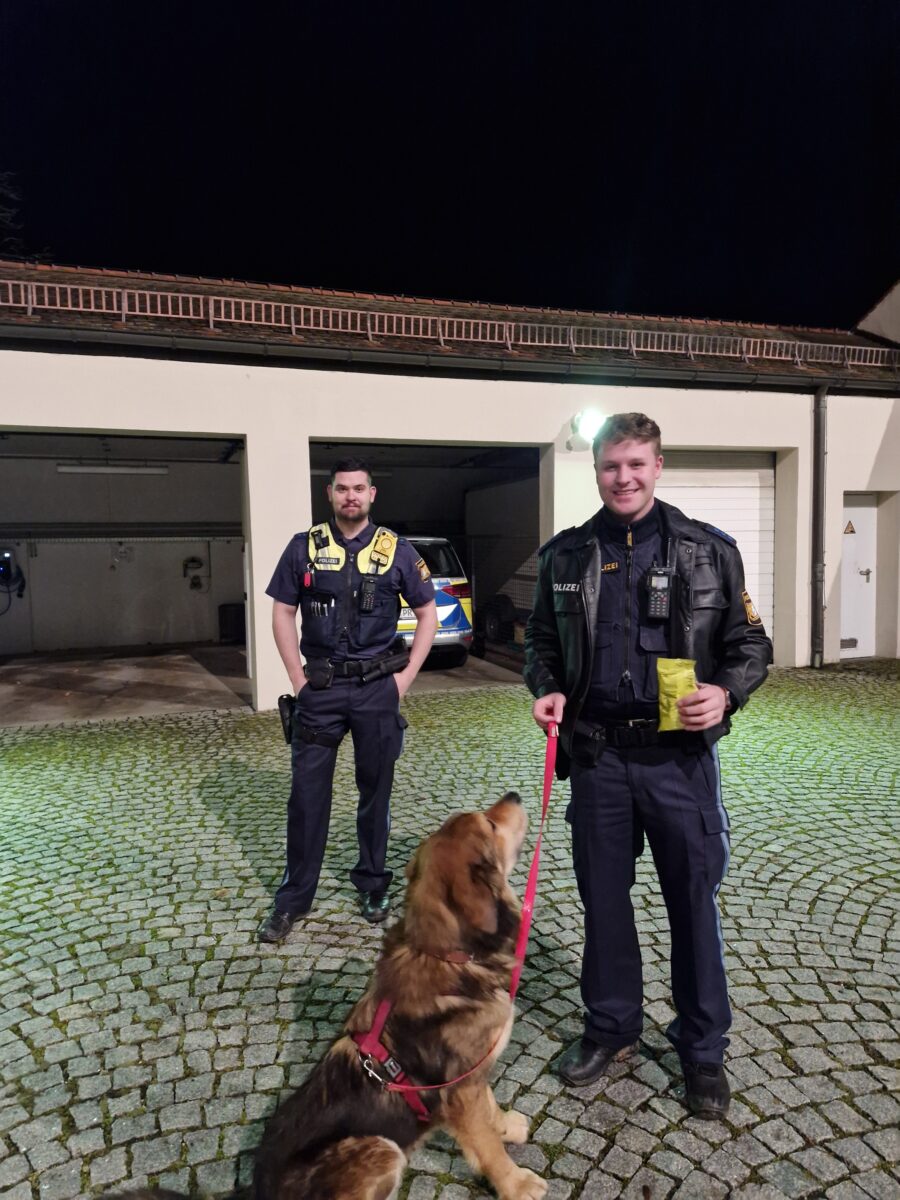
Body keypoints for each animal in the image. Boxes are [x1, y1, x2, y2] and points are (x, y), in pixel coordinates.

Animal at [253, 790, 547, 1200]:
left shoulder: (472, 1076)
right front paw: (516, 1183)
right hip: (383, 1148)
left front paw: (506, 1127)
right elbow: (488, 1146)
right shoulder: (460, 1092)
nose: (514, 794)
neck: (446, 956)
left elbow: (490, 1112)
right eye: (489, 823)